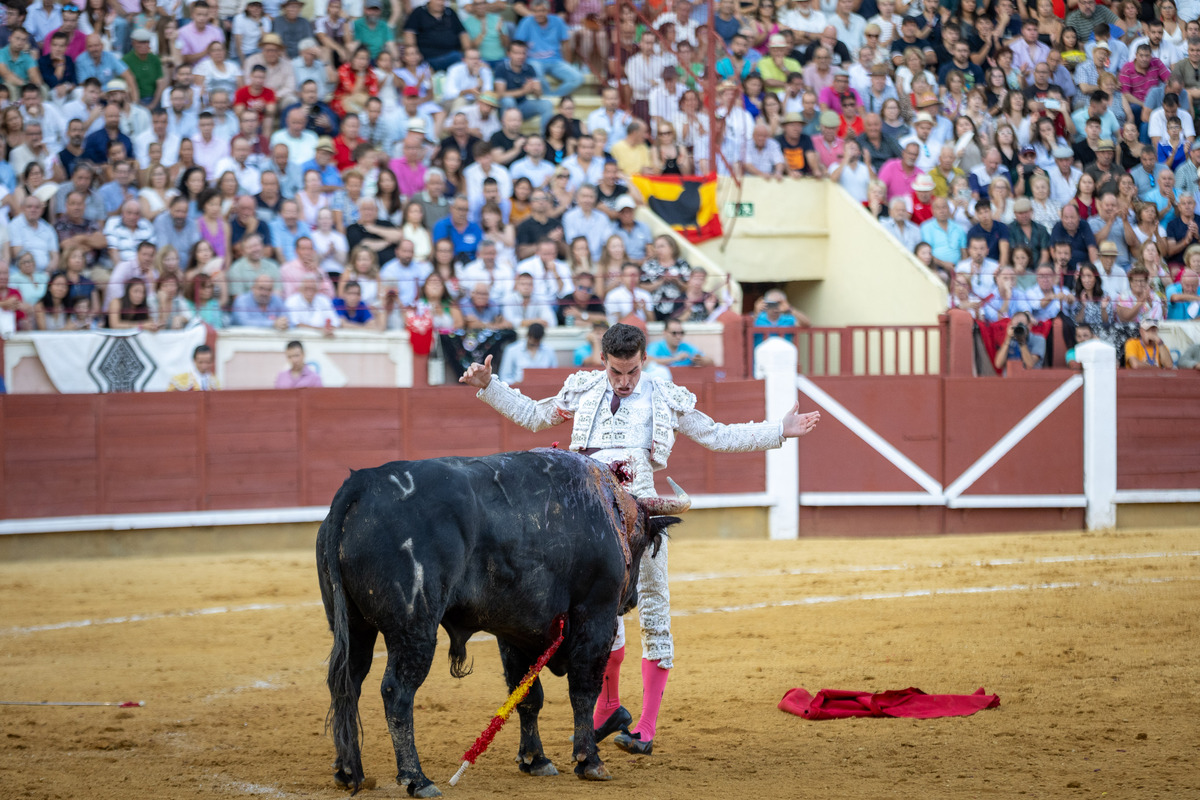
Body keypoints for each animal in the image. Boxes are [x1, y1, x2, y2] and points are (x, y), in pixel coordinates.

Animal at [314, 448, 691, 796]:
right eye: (643, 542)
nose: (631, 601)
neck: (606, 505)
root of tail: (360, 485)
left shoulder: (515, 630)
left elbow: (526, 694)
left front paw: (535, 760)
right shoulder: (595, 615)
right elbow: (583, 689)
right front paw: (590, 761)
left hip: (353, 626)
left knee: (346, 683)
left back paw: (347, 771)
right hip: (413, 628)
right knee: (396, 692)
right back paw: (417, 779)